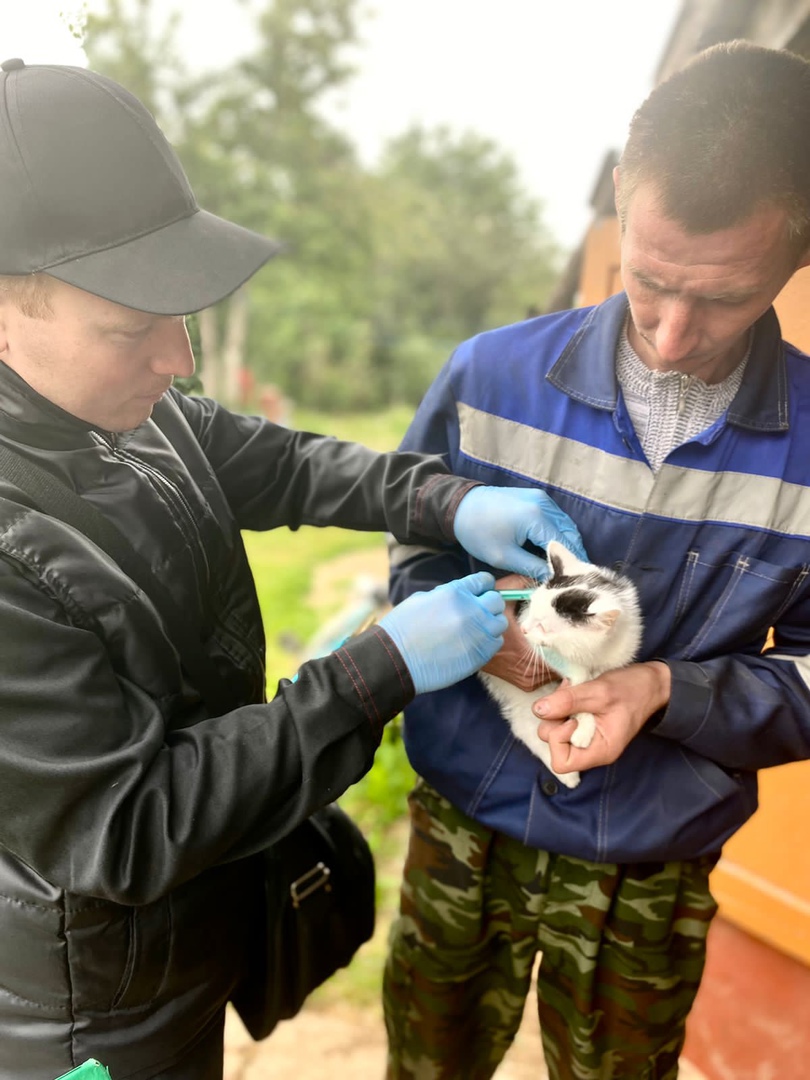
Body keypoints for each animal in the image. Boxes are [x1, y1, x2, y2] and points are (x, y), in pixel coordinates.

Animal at [479, 544, 643, 790]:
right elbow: (575, 674)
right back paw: (568, 775)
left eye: (543, 626)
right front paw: (584, 726)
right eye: (530, 606)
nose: (524, 630)